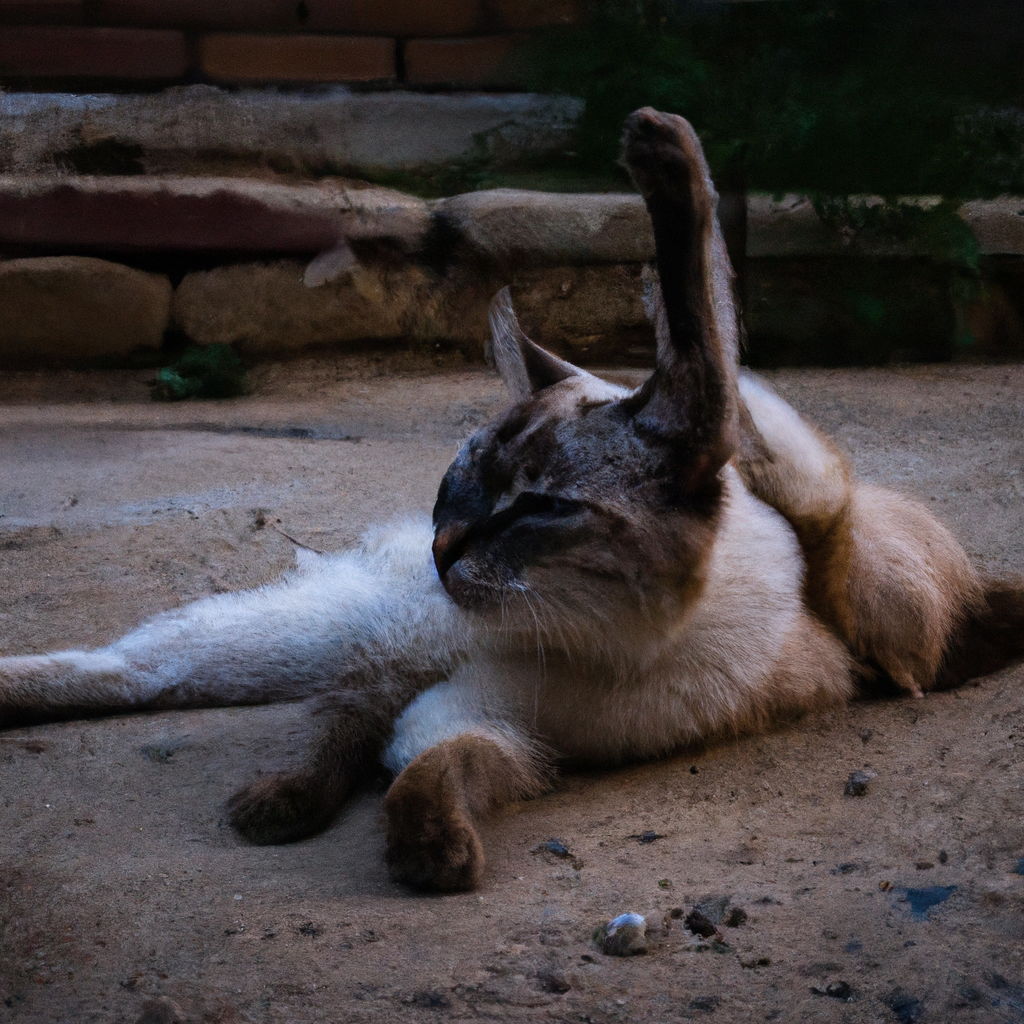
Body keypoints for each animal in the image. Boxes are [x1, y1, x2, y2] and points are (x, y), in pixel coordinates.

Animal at [2, 105, 1024, 888]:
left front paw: (430, 859)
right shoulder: (404, 676)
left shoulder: (489, 728)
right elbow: (332, 738)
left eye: (538, 509)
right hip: (303, 635)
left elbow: (420, 779)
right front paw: (281, 806)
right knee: (138, 668)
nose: (443, 548)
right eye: (458, 486)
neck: (594, 644)